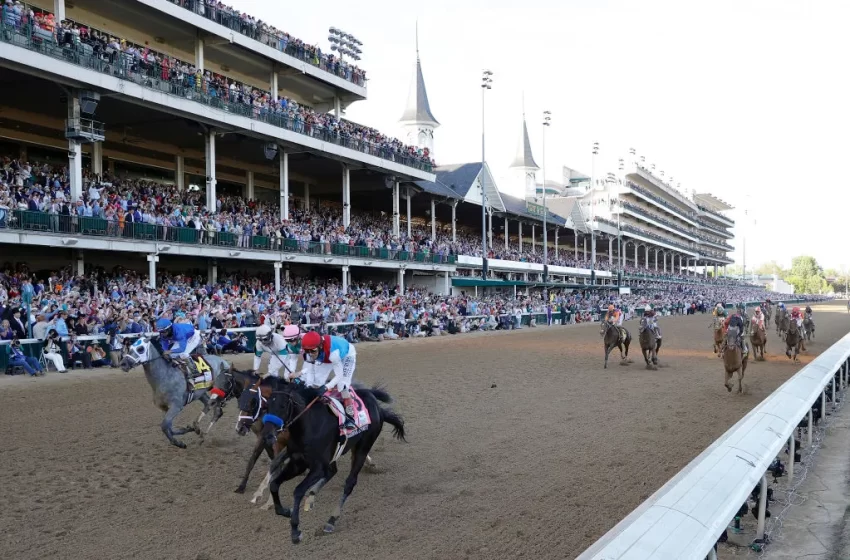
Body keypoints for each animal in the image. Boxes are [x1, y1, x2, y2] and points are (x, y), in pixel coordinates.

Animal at [264, 382, 408, 544]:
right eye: (267, 405)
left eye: (283, 406)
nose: (268, 436)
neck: (309, 425)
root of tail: (378, 408)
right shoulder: (298, 463)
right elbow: (274, 484)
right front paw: (285, 511)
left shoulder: (317, 467)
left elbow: (298, 491)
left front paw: (295, 530)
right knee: (332, 471)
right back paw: (312, 496)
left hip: (362, 449)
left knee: (349, 483)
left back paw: (331, 520)